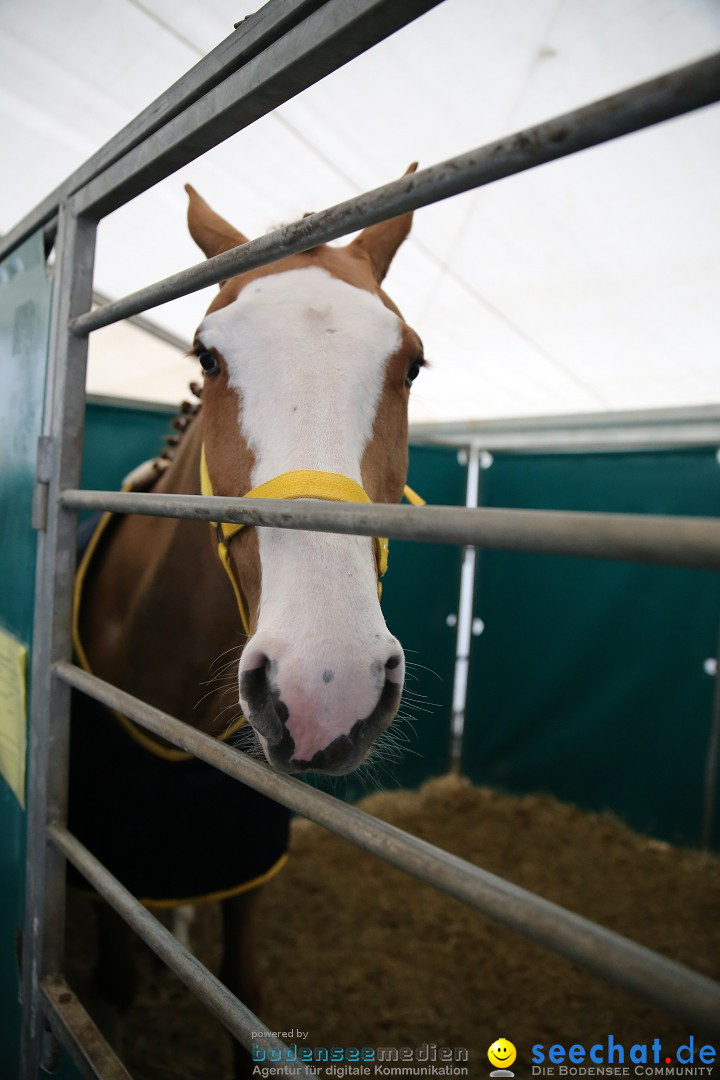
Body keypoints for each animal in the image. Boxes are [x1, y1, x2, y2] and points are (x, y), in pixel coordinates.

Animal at [67, 172, 423, 1075]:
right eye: (207, 355)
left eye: (411, 363)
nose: (328, 681)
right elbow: (115, 985)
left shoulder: (248, 864)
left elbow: (244, 994)